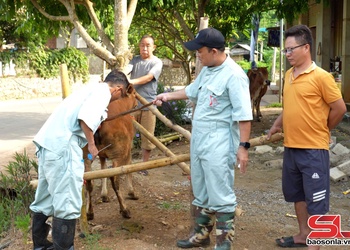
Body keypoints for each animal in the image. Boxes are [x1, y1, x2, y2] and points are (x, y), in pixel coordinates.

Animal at [84, 83, 139, 219]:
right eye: (134, 94)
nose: (137, 104)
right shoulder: (127, 148)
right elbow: (128, 168)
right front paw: (132, 192)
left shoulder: (102, 154)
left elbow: (103, 170)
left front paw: (104, 195)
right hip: (117, 154)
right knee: (114, 179)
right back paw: (124, 209)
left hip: (87, 154)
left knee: (88, 180)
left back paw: (90, 212)